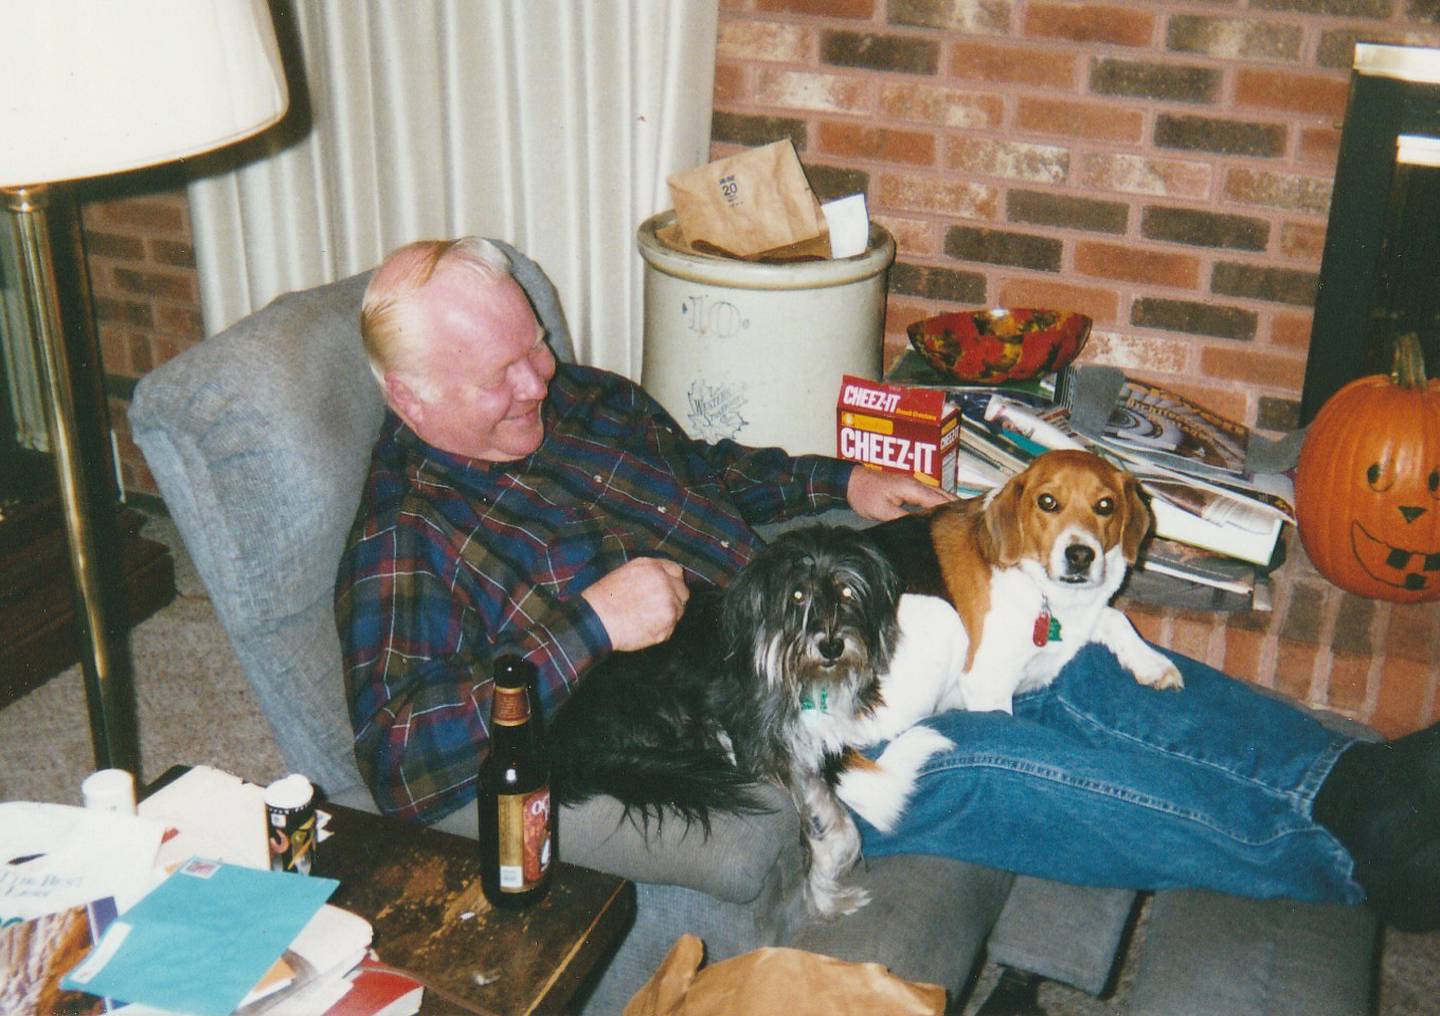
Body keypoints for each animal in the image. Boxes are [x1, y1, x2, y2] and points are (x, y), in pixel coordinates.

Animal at [547, 526, 898, 915]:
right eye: (797, 595)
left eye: (847, 591)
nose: (832, 646)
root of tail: (563, 743)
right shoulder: (765, 746)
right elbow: (829, 819)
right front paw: (827, 893)